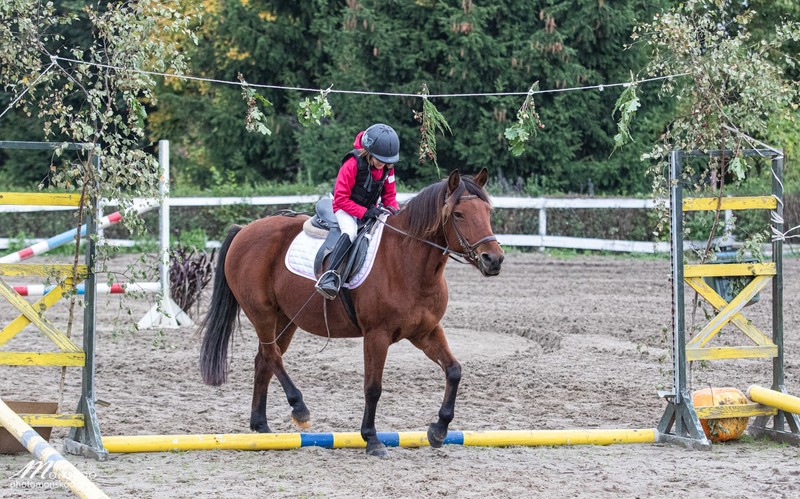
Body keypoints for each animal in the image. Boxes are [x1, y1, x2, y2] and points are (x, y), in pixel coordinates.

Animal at [198, 169, 504, 458]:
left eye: (487, 212)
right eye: (459, 214)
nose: (494, 260)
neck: (409, 263)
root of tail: (245, 230)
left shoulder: (426, 332)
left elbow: (454, 370)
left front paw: (438, 430)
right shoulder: (377, 335)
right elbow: (373, 387)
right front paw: (372, 439)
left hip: (286, 319)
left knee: (264, 359)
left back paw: (261, 427)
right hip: (262, 313)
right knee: (272, 356)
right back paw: (300, 409)